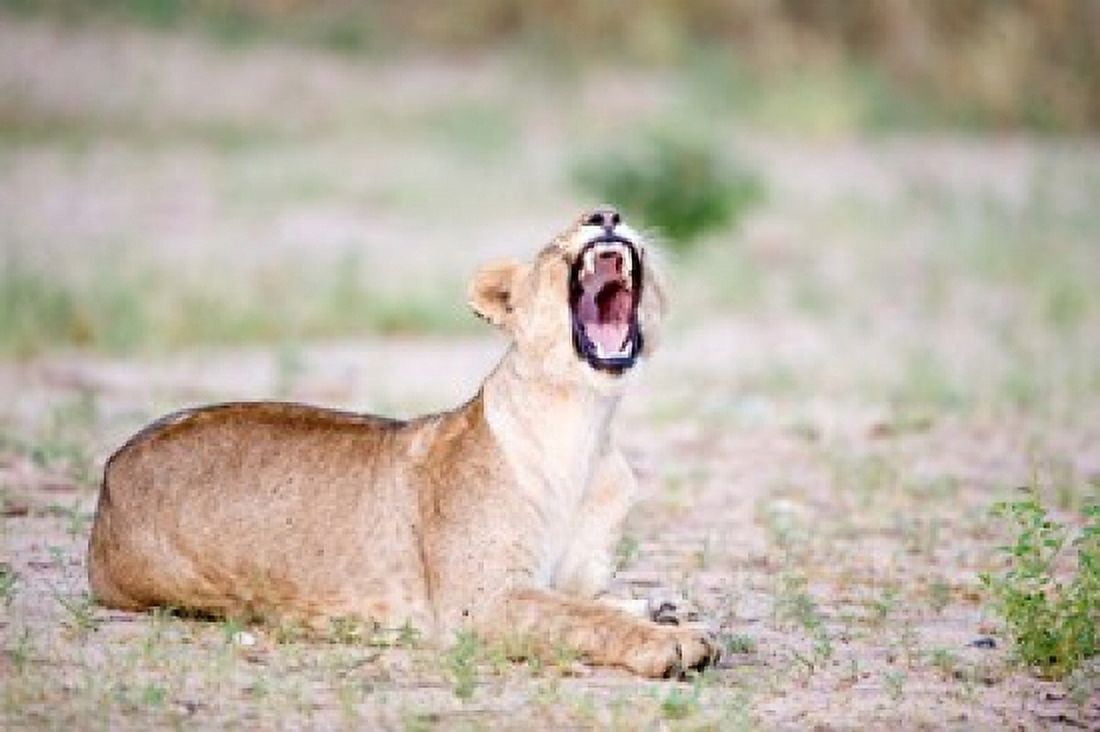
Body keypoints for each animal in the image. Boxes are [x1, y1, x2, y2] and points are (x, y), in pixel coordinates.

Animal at [87, 207, 718, 677]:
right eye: (551, 244)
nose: (605, 215)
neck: (584, 422)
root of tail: (112, 469)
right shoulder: (478, 601)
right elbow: (582, 617)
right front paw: (671, 640)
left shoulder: (566, 578)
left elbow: (587, 600)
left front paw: (666, 611)